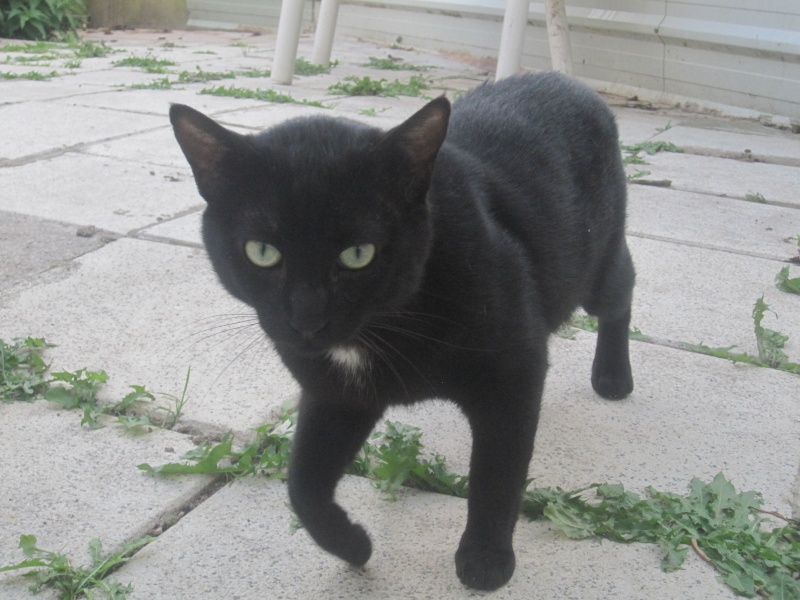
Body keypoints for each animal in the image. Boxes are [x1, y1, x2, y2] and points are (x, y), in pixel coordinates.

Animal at [172, 70, 636, 592]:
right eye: (262, 252)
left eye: (358, 254)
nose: (307, 318)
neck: (382, 327)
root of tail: (567, 80)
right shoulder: (337, 394)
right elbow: (302, 483)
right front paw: (352, 545)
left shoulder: (513, 372)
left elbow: (496, 473)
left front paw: (485, 558)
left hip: (597, 269)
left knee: (623, 289)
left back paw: (613, 377)